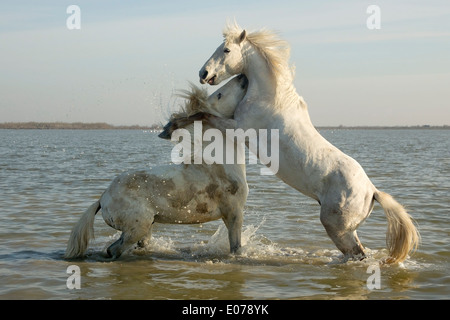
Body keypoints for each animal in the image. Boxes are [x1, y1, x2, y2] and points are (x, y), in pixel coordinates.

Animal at [63, 75, 248, 260]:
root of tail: (102, 199)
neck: (222, 163)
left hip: (145, 228)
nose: (242, 78)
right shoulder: (234, 213)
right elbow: (236, 246)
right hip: (138, 228)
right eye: (219, 94)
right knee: (114, 250)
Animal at [199, 21, 420, 262]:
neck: (268, 97)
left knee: (357, 254)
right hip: (346, 229)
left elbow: (206, 115)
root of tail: (372, 191)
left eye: (226, 50)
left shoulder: (238, 127)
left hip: (336, 227)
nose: (203, 73)